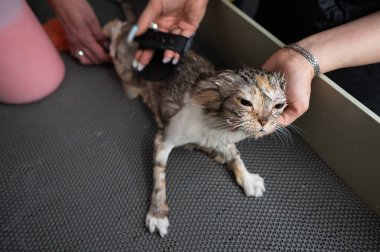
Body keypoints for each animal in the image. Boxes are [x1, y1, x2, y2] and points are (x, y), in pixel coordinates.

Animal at [102, 11, 286, 238]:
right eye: (245, 102)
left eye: (279, 105)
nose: (264, 121)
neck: (217, 126)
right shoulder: (164, 138)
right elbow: (159, 174)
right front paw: (158, 213)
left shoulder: (223, 138)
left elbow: (235, 155)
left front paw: (248, 178)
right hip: (125, 65)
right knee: (116, 28)